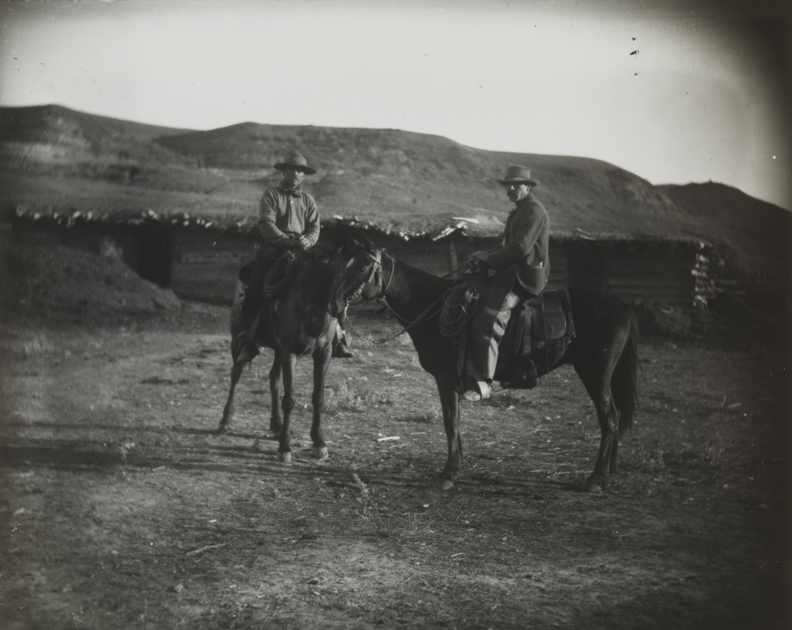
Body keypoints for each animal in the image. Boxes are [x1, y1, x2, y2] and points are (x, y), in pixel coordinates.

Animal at [219, 249, 339, 463]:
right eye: (302, 283)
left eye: (333, 283)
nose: (314, 323)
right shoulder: (290, 351)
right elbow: (289, 399)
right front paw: (285, 447)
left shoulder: (323, 353)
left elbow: (318, 396)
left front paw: (319, 443)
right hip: (237, 339)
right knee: (235, 373)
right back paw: (225, 420)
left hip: (277, 349)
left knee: (273, 378)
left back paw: (276, 425)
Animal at [328, 233, 639, 492]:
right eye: (340, 265)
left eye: (361, 269)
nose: (334, 305)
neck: (433, 306)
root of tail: (620, 304)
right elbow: (455, 422)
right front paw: (457, 465)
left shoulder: (446, 379)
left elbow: (450, 421)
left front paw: (449, 473)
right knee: (613, 417)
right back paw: (608, 472)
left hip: (596, 374)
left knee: (609, 418)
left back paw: (596, 478)